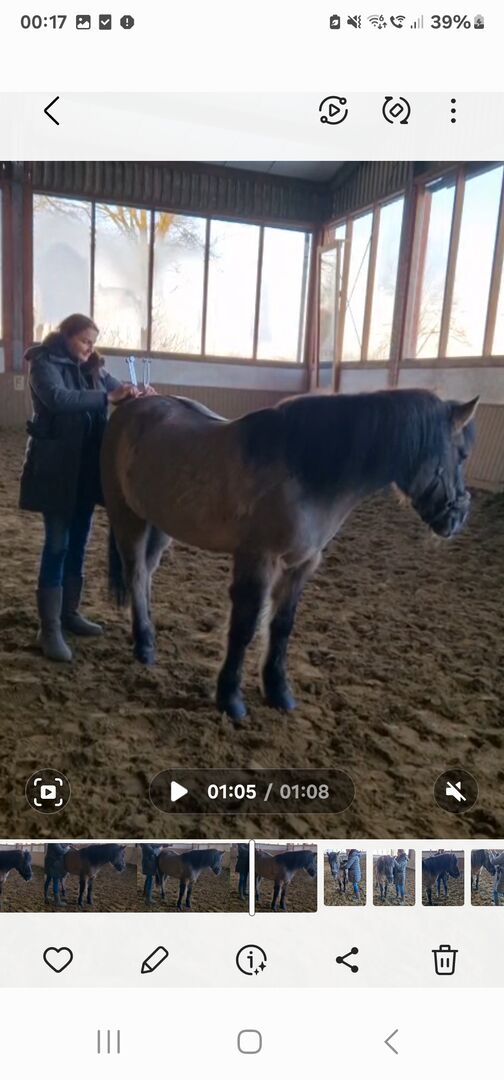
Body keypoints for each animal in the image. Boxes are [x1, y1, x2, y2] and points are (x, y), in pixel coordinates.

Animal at [101, 389, 478, 721]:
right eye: (461, 455)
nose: (458, 517)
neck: (305, 472)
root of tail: (131, 406)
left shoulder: (302, 564)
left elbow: (281, 626)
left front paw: (278, 691)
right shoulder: (258, 560)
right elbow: (245, 627)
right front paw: (230, 698)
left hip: (160, 525)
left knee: (146, 576)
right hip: (128, 517)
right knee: (135, 574)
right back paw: (144, 645)